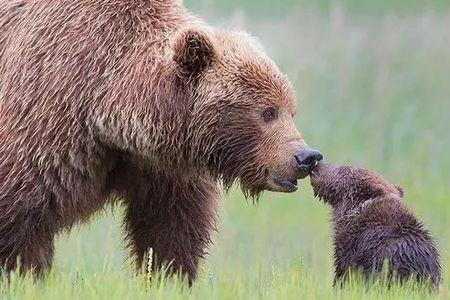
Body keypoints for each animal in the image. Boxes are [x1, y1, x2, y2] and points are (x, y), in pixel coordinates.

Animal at [0, 0, 324, 282]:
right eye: (268, 112)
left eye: (291, 109)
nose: (306, 156)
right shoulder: (49, 117)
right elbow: (21, 215)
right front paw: (23, 273)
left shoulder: (162, 167)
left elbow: (170, 227)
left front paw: (168, 276)